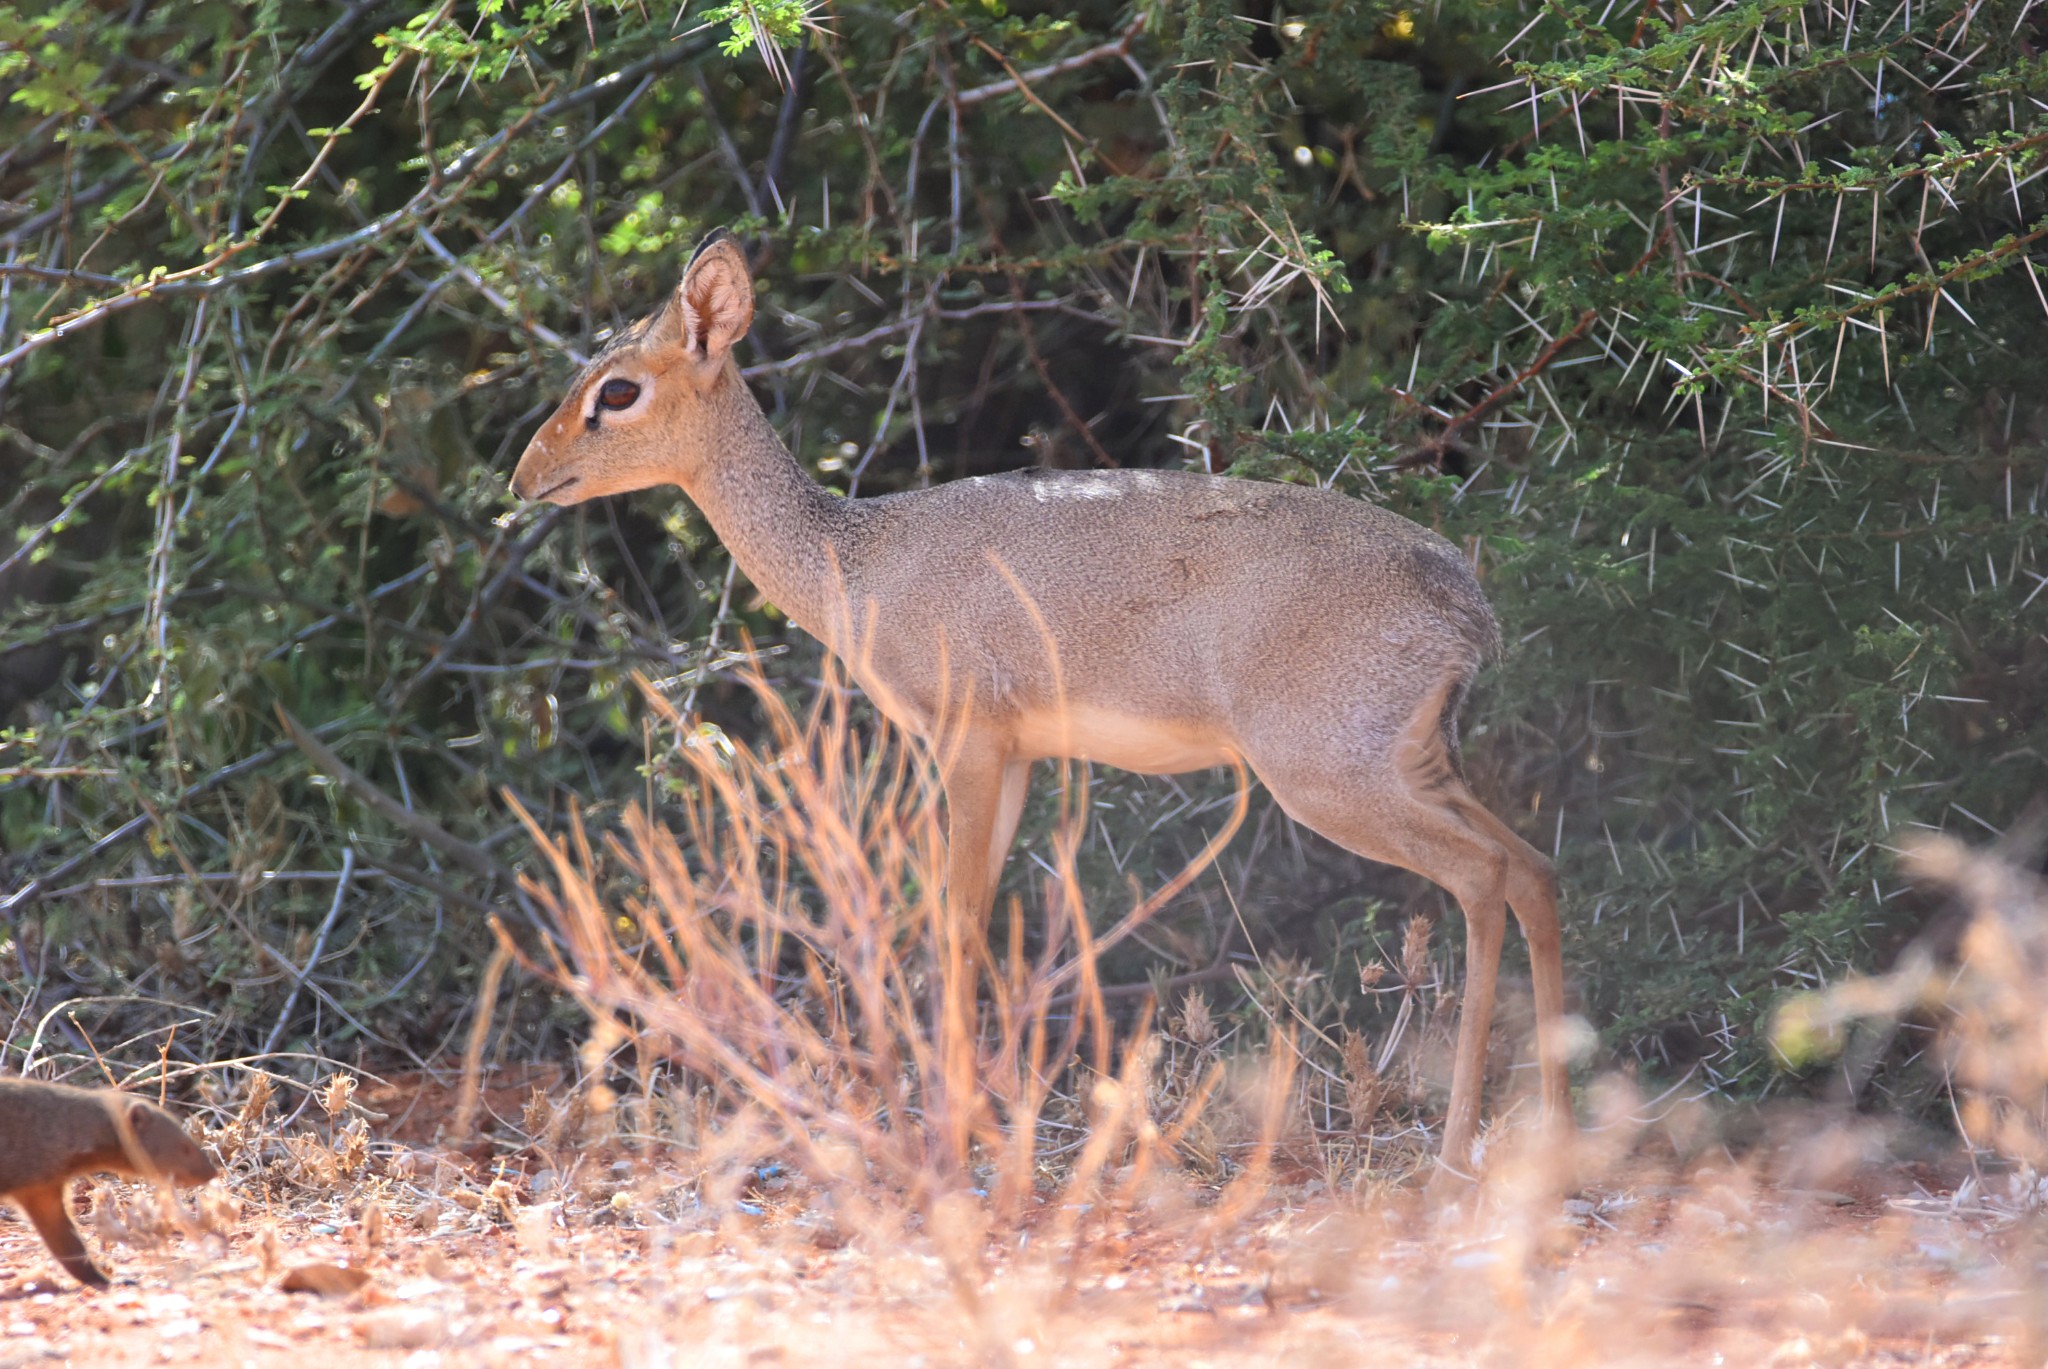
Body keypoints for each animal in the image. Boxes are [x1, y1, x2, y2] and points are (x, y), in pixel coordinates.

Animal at [512, 229, 1564, 1172]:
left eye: (617, 389)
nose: (527, 477)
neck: (856, 558)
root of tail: (1464, 603)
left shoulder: (966, 741)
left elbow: (956, 923)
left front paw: (953, 1134)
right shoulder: (1015, 755)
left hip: (1329, 778)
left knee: (1482, 876)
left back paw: (1458, 1152)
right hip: (1414, 765)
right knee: (1534, 867)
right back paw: (1552, 1121)